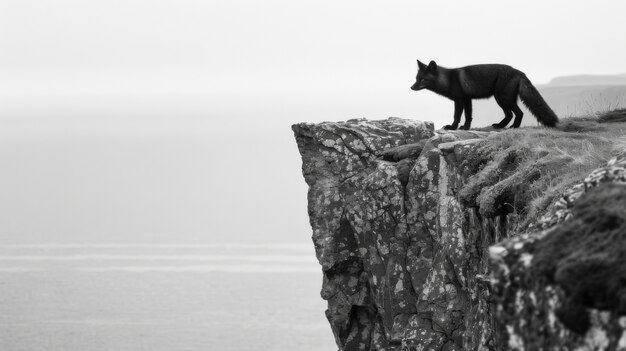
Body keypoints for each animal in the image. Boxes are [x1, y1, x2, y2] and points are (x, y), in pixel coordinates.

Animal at [410, 60, 556, 131]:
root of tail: (519, 72)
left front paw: (453, 127)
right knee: (509, 114)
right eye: (416, 79)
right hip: (501, 99)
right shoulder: (467, 100)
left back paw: (514, 127)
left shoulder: (460, 100)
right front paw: (466, 128)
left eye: (422, 80)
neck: (449, 80)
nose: (411, 87)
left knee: (519, 113)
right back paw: (500, 126)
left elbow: (457, 116)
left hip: (503, 98)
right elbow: (468, 116)